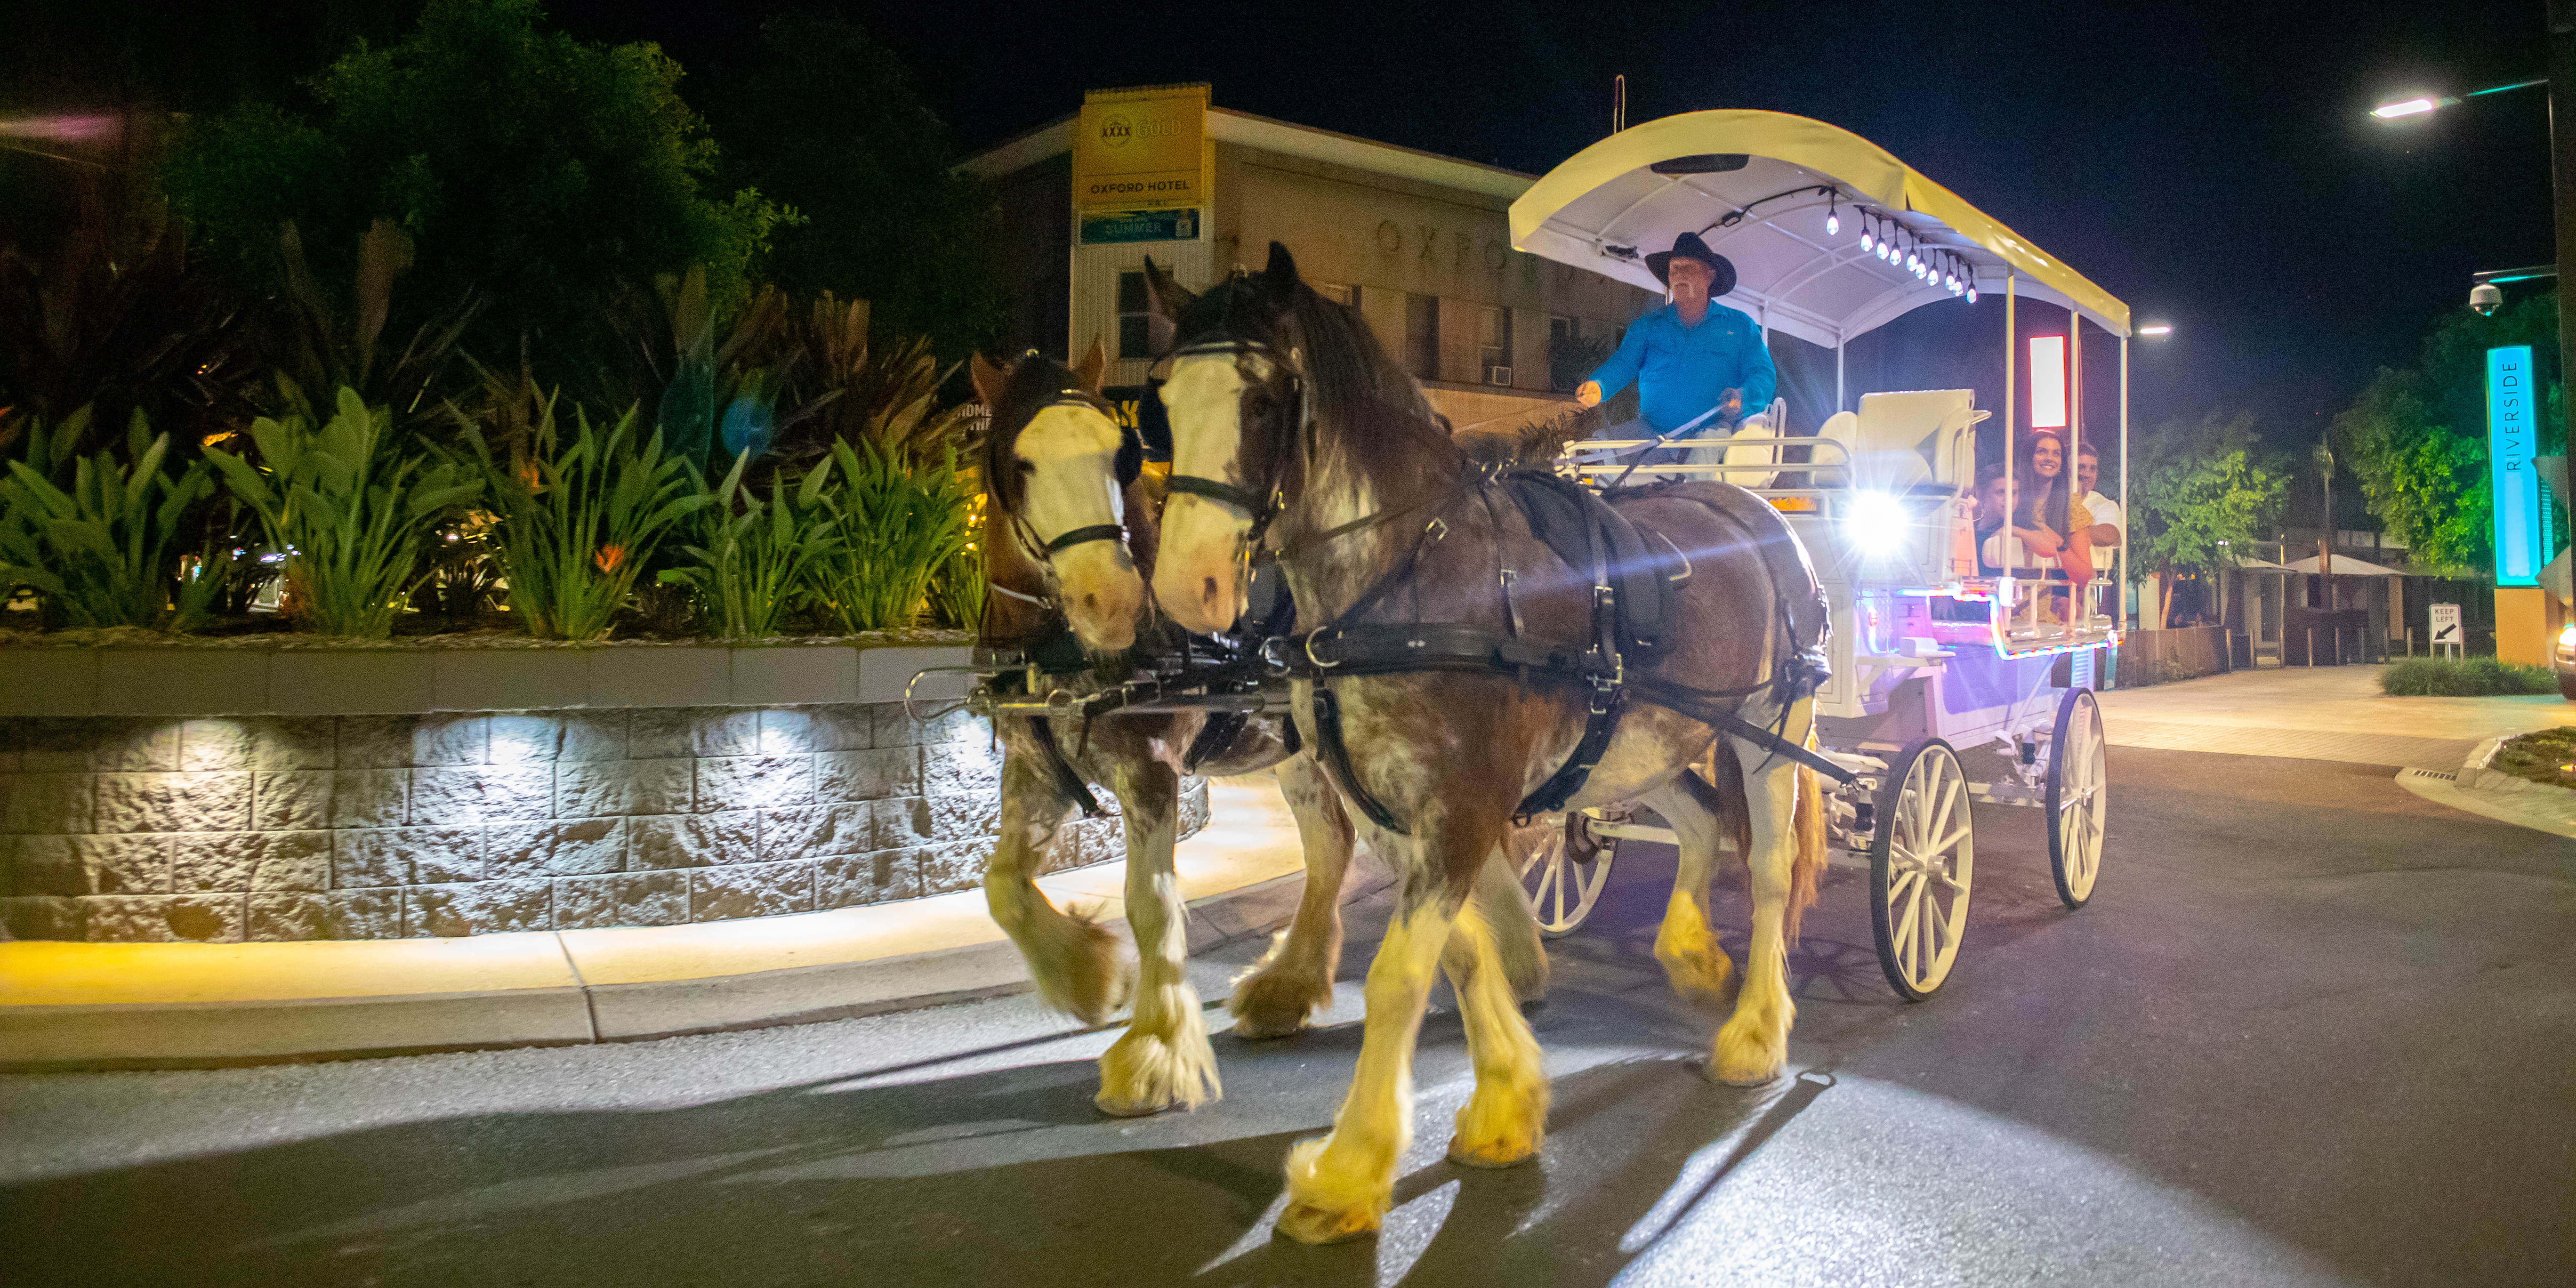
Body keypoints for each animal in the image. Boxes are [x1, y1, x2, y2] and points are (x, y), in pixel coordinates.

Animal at [963, 345, 1525, 1118]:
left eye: (1122, 454)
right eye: (1019, 463)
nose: (1112, 600)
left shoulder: (1150, 765)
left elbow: (1151, 903)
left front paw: (1156, 1051)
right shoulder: (1034, 767)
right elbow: (1003, 886)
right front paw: (1087, 979)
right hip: (1302, 749)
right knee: (1333, 843)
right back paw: (1292, 983)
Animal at [1133, 246, 1834, 1241]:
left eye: (1264, 401)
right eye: (1157, 403)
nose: (1187, 585)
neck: (1409, 577)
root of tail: (1758, 509)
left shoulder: (1460, 809)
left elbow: (1398, 974)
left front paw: (1346, 1170)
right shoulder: (1396, 814)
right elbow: (1459, 953)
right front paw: (1505, 1102)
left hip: (1774, 733)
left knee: (1769, 869)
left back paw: (1753, 1032)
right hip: (1646, 737)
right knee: (1699, 823)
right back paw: (1694, 960)